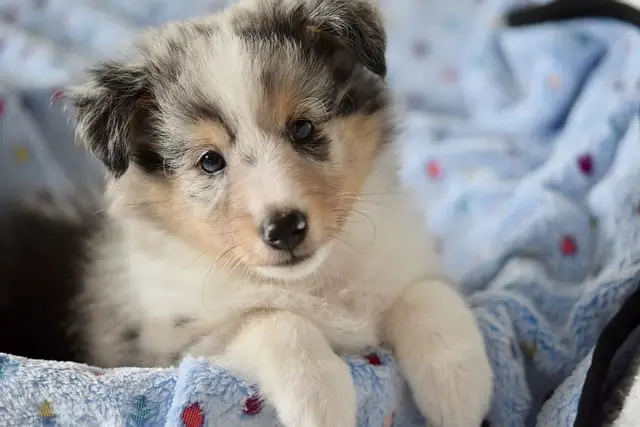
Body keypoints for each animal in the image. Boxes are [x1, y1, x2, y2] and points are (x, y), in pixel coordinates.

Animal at [0, 1, 492, 426]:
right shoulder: (167, 345)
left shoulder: (397, 261)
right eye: (210, 161)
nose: (285, 228)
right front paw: (321, 401)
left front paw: (460, 387)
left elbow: (425, 292)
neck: (312, 281)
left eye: (302, 128)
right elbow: (272, 319)